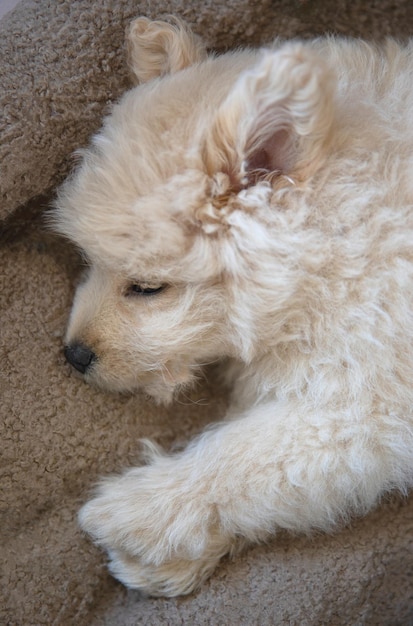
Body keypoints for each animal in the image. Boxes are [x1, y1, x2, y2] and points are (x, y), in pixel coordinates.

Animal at [54, 18, 412, 596]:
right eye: (89, 261)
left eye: (148, 287)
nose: (75, 354)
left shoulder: (373, 399)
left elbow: (249, 455)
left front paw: (142, 512)